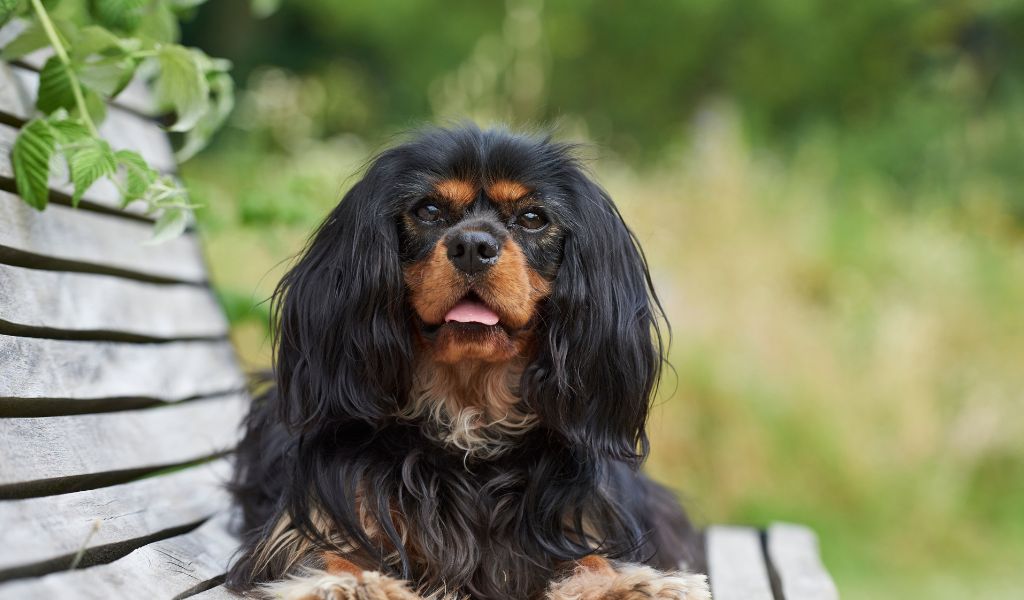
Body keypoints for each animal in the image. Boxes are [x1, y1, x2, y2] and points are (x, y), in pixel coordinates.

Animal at [225, 122, 708, 597]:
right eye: (429, 210)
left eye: (532, 218)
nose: (473, 245)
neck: (468, 412)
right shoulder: (315, 521)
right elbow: (327, 553)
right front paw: (351, 584)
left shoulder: (576, 518)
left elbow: (590, 556)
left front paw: (623, 585)